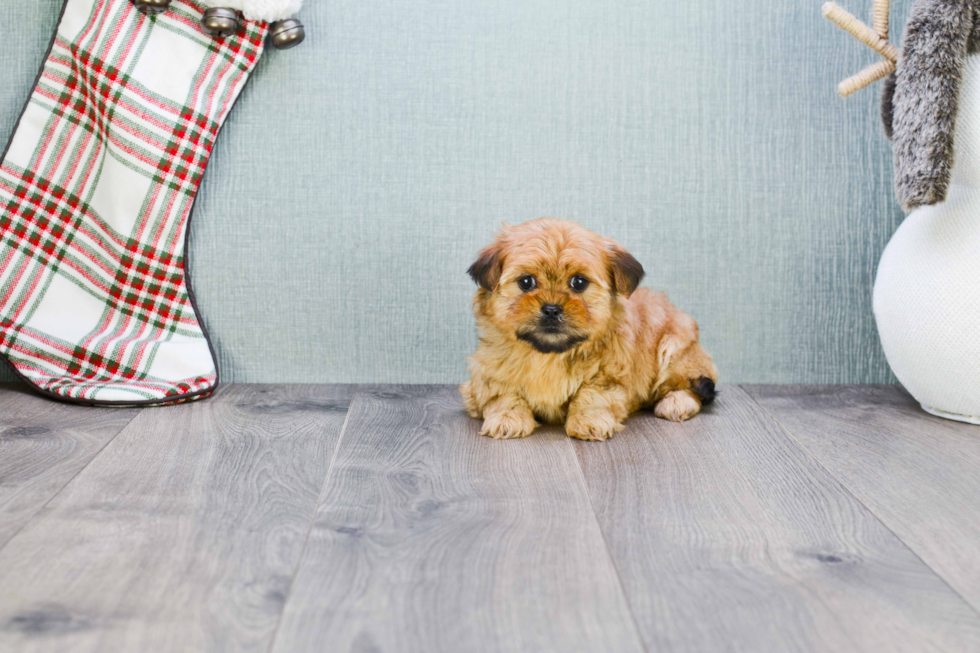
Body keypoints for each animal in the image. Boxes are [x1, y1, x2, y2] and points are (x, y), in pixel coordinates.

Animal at [460, 216, 720, 440]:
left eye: (579, 282)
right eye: (526, 282)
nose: (552, 308)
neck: (549, 355)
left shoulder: (608, 376)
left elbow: (592, 396)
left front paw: (589, 421)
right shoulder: (488, 374)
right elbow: (502, 395)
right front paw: (507, 418)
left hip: (676, 347)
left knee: (691, 384)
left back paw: (677, 402)